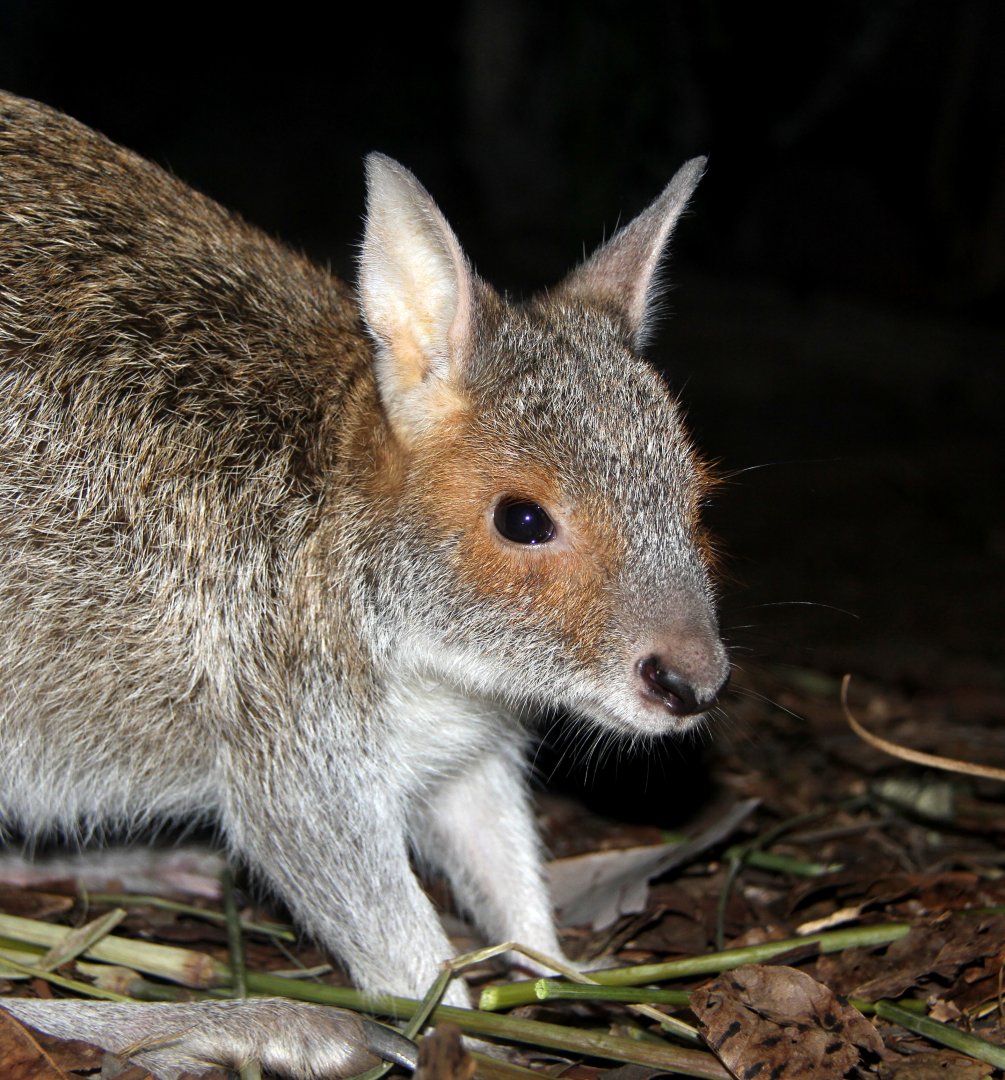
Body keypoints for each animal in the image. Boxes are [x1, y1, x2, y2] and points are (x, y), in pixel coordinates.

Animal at [0, 90, 729, 1077]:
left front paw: (556, 972)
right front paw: (469, 1034)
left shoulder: (465, 746)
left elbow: (500, 856)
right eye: (522, 520)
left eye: (694, 499)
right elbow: (397, 939)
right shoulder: (292, 749)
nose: (692, 682)